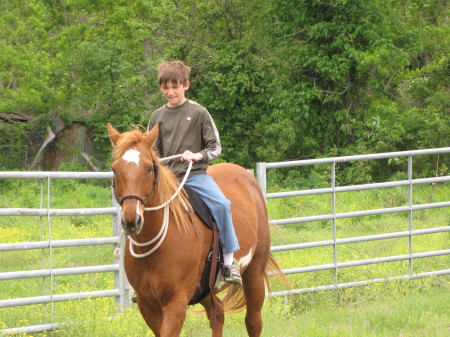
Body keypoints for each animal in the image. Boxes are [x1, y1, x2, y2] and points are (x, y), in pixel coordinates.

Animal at [107, 124, 286, 336]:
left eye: (149, 168)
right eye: (114, 169)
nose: (131, 220)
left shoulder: (176, 302)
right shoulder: (146, 304)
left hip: (254, 273)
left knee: (253, 321)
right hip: (205, 290)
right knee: (218, 313)